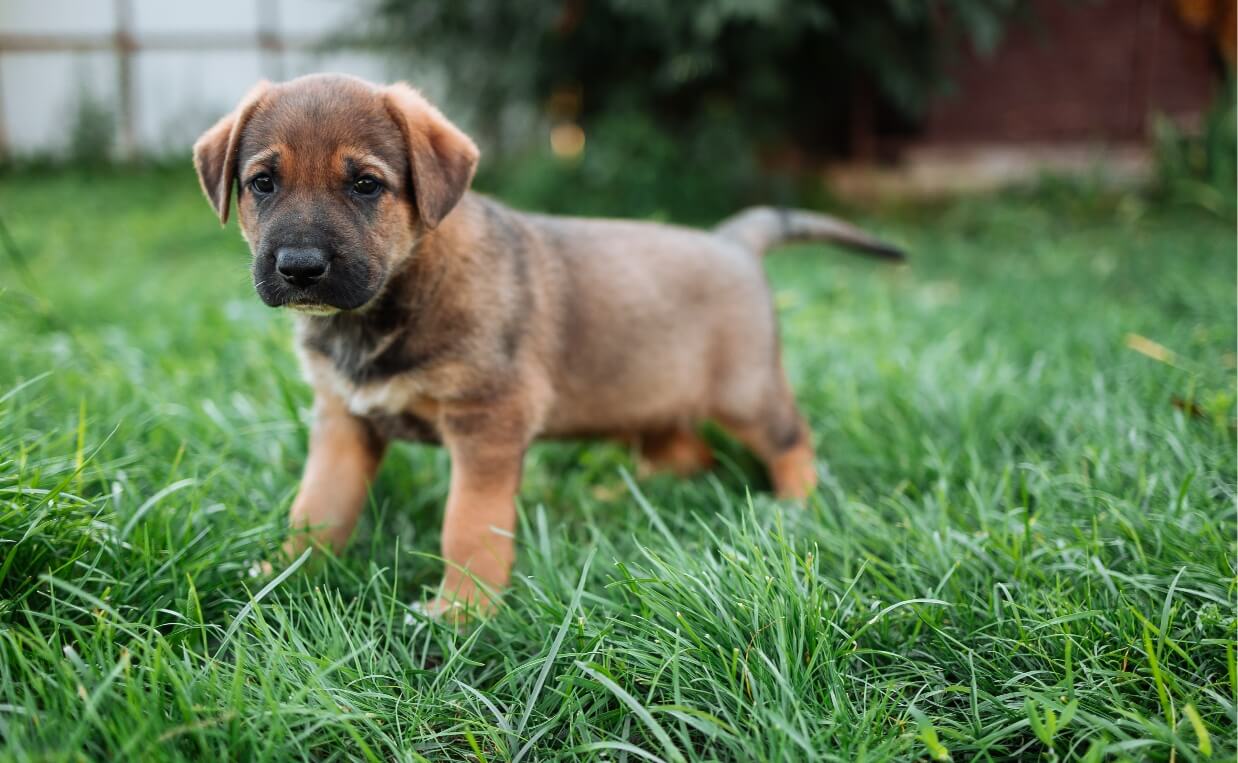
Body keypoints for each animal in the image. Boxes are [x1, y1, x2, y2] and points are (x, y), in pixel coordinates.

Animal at [195, 74, 911, 616]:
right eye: (263, 183)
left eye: (366, 185)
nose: (300, 268)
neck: (391, 303)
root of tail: (733, 241)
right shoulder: (344, 422)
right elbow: (316, 508)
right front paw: (281, 573)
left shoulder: (487, 423)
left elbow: (468, 526)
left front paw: (462, 612)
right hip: (648, 397)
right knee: (686, 452)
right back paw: (622, 496)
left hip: (746, 394)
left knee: (791, 439)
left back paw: (795, 508)